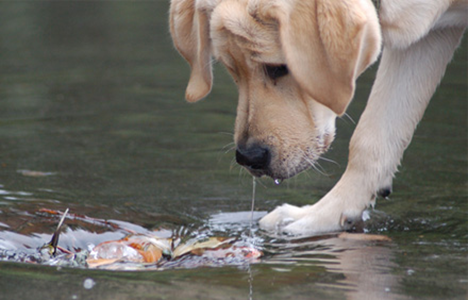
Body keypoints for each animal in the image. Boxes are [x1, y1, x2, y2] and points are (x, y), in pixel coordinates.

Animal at [170, 0, 466, 234]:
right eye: (231, 69)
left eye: (279, 67)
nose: (248, 157)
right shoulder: (425, 38)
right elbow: (372, 137)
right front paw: (323, 215)